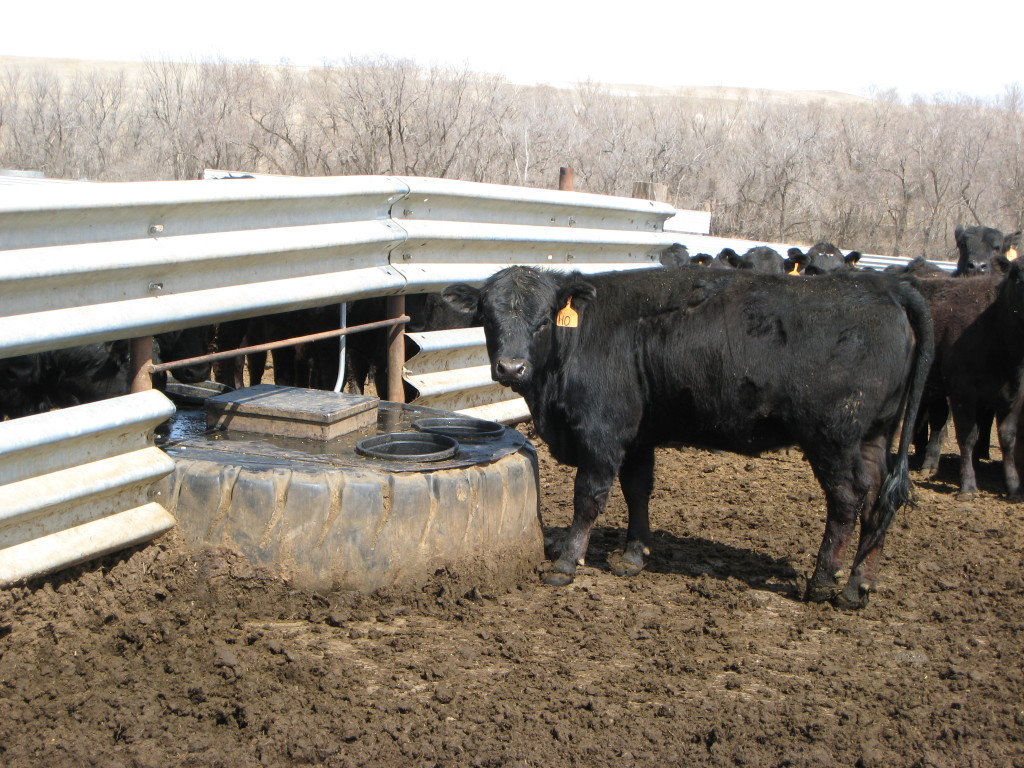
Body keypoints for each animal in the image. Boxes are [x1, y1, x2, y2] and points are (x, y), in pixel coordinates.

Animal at [444, 268, 933, 610]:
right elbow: (638, 490)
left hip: (833, 437)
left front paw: (566, 562)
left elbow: (589, 496)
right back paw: (857, 586)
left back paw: (822, 581)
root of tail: (884, 286)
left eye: (544, 320)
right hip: (873, 437)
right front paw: (632, 557)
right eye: (488, 318)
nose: (511, 367)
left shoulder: (603, 432)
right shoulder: (639, 436)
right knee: (878, 503)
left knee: (847, 500)